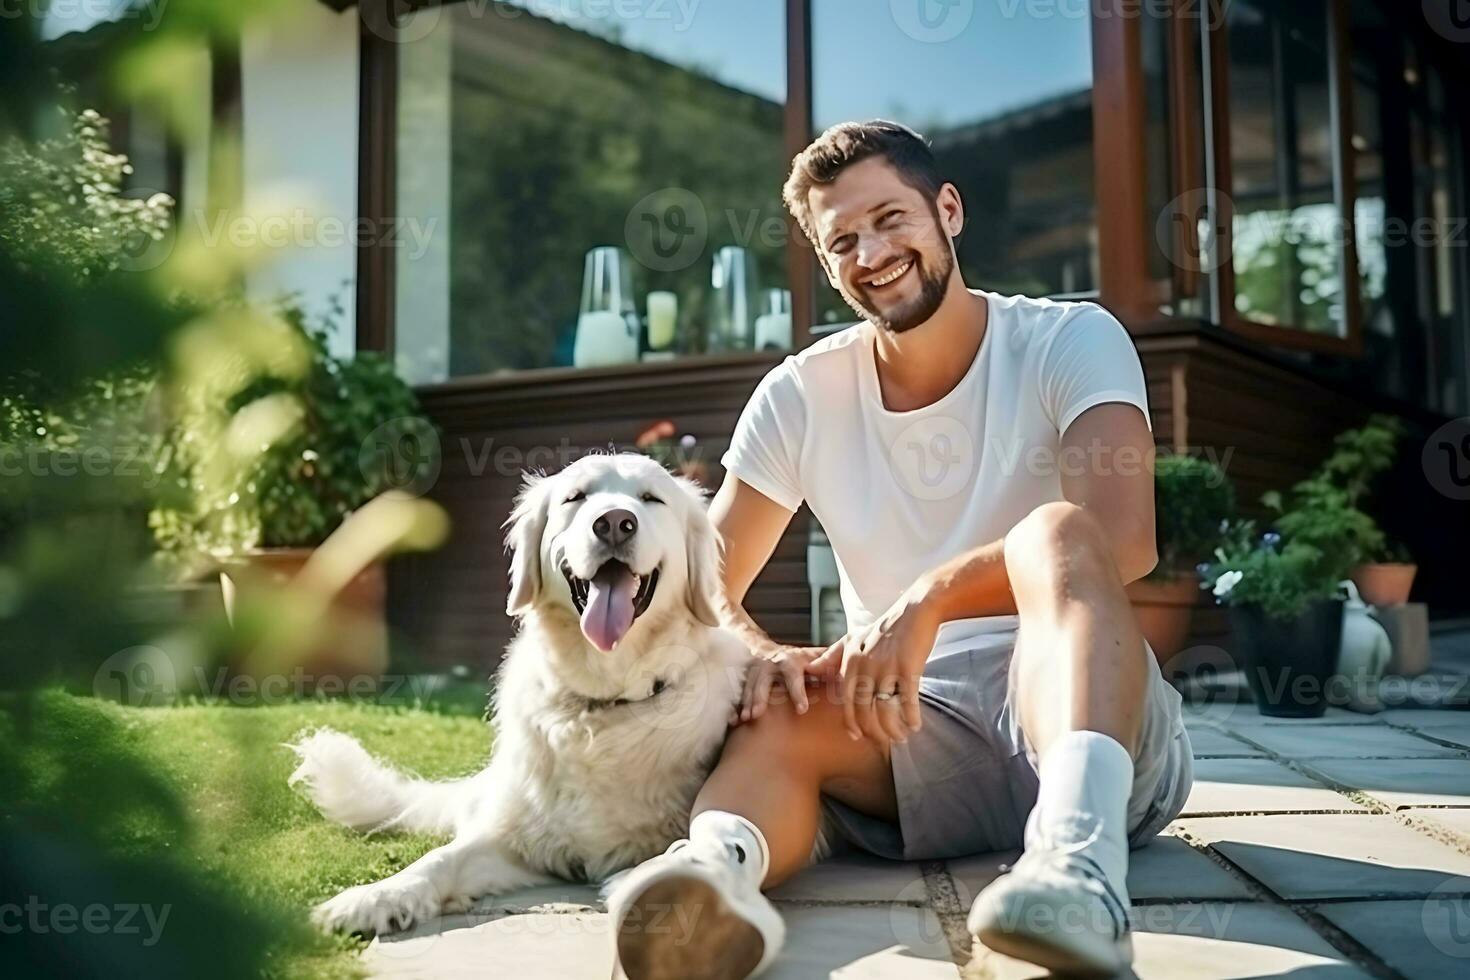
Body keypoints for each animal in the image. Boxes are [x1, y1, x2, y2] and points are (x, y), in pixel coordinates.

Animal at [295, 452, 758, 934]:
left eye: (652, 499)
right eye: (576, 497)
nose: (614, 523)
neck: (602, 705)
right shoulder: (517, 838)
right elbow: (441, 858)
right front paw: (377, 895)